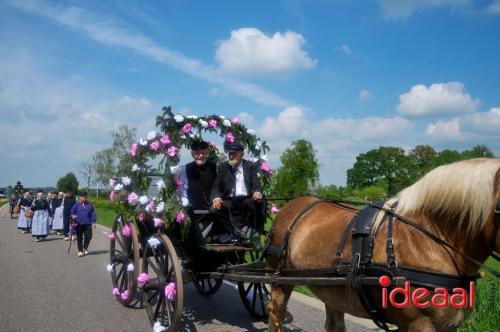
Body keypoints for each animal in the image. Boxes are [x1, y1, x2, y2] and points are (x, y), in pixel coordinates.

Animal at [270, 159, 500, 332]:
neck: (432, 239)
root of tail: (290, 205)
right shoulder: (418, 324)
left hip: (331, 288)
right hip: (280, 279)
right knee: (275, 312)